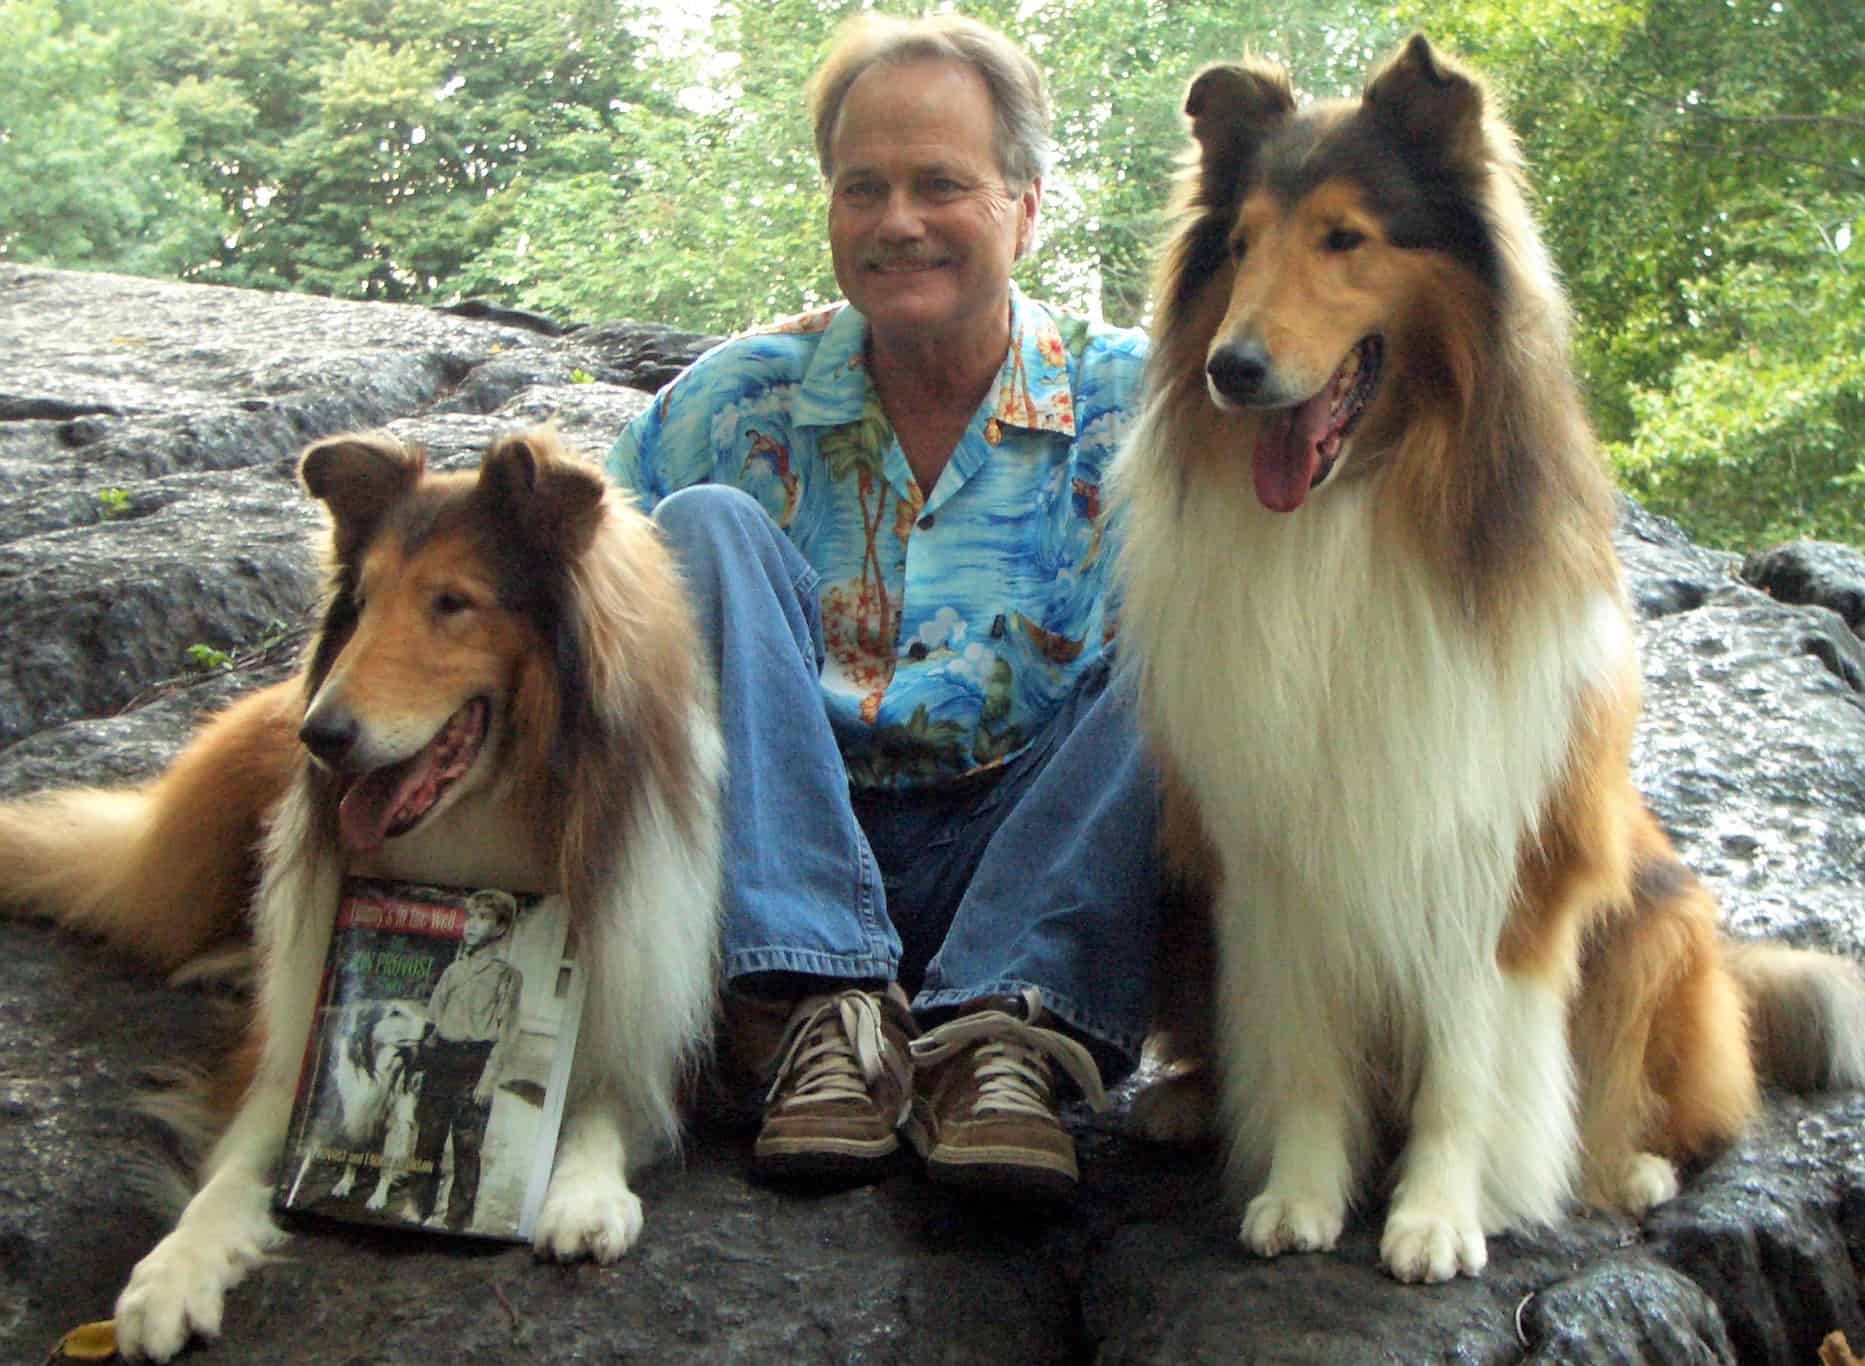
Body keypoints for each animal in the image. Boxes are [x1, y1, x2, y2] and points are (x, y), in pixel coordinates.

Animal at [0, 427, 719, 1358]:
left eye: (452, 601)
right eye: (366, 599)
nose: (323, 737)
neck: (486, 814)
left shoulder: (641, 991)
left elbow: (605, 1094)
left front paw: (584, 1191)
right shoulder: (294, 1039)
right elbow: (245, 1148)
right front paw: (175, 1271)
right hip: (180, 874)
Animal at [1111, 37, 1857, 1283]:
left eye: (1344, 237)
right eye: (1242, 244)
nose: (1231, 368)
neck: (1355, 507)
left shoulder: (1490, 854)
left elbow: (1465, 1067)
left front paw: (1436, 1216)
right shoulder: (1270, 854)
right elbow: (1301, 1048)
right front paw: (1297, 1194)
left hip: (1656, 925)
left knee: (1690, 1105)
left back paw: (1630, 1166)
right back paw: (1184, 1100)